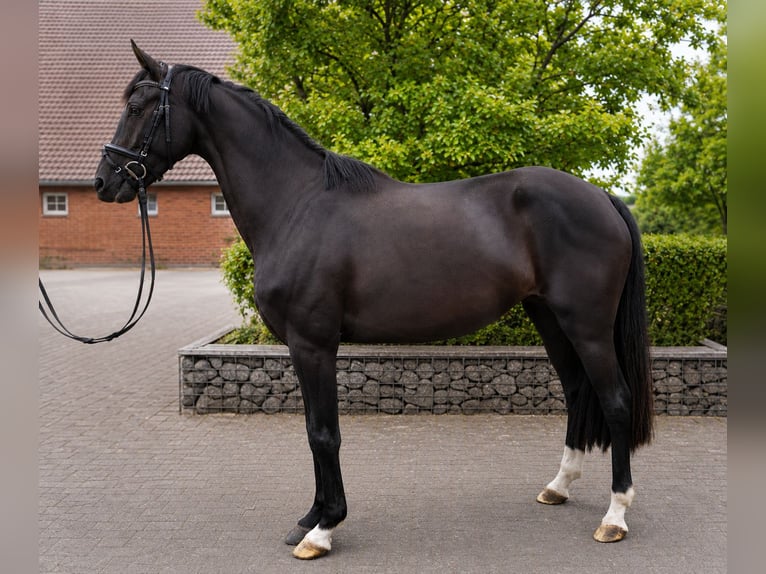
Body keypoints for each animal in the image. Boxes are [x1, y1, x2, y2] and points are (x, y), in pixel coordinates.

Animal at [95, 42, 653, 560]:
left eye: (139, 106)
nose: (105, 181)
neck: (297, 204)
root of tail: (603, 197)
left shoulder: (313, 344)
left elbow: (324, 433)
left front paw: (323, 530)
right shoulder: (303, 348)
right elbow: (312, 430)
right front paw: (310, 516)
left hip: (587, 326)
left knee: (616, 400)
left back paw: (615, 515)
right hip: (550, 318)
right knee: (578, 391)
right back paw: (558, 487)